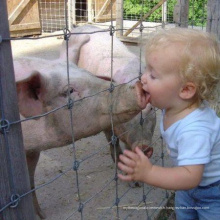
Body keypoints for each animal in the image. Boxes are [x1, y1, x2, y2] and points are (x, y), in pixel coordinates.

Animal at [14, 56, 150, 218]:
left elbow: (30, 182)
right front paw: (42, 216)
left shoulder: (32, 150)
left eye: (89, 75)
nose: (139, 86)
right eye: (69, 90)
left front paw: (41, 215)